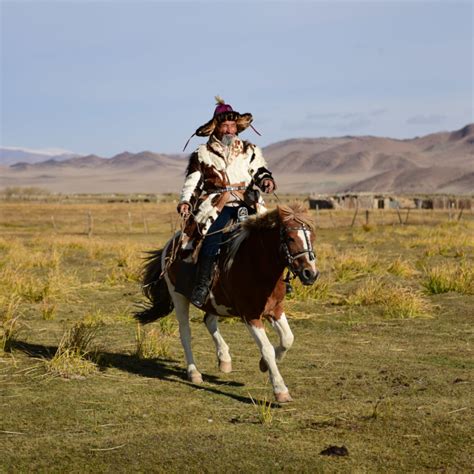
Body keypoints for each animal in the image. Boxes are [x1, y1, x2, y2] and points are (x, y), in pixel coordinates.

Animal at [133, 202, 318, 402]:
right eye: (291, 238)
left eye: (312, 237)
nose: (311, 274)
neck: (257, 264)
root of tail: (170, 244)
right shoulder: (250, 315)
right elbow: (267, 348)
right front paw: (280, 389)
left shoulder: (275, 309)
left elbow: (287, 339)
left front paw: (264, 364)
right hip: (179, 297)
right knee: (185, 334)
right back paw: (194, 372)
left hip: (214, 302)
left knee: (209, 321)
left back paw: (224, 358)